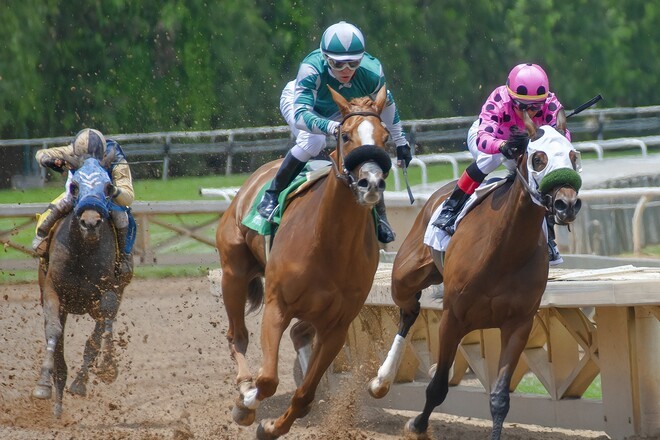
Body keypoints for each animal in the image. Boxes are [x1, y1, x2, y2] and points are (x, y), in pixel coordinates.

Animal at [33, 151, 132, 418]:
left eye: (108, 187)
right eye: (75, 186)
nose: (90, 222)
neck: (82, 255)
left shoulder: (108, 294)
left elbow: (99, 333)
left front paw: (100, 371)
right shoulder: (52, 292)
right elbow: (53, 332)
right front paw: (43, 386)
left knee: (101, 330)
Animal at [216, 85, 393, 439]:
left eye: (386, 137)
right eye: (346, 136)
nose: (371, 183)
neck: (329, 244)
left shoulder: (337, 325)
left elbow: (304, 393)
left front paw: (272, 426)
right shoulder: (277, 306)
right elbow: (268, 380)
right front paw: (248, 403)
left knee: (298, 335)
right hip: (233, 273)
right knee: (237, 335)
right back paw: (244, 390)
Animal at [367, 111, 583, 440]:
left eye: (573, 156)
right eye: (539, 158)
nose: (566, 204)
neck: (504, 251)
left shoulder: (518, 324)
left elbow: (500, 398)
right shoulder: (453, 318)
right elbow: (437, 387)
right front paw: (416, 425)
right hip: (404, 277)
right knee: (408, 312)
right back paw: (381, 381)